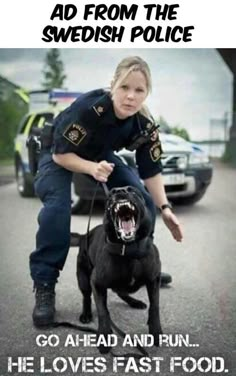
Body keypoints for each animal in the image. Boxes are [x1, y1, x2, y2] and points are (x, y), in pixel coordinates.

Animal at [75, 187, 162, 354]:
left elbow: (154, 307)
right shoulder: (97, 283)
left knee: (121, 292)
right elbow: (103, 312)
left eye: (132, 191)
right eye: (110, 197)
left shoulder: (154, 279)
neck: (129, 251)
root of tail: (84, 236)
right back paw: (86, 314)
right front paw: (104, 338)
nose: (119, 190)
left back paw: (134, 302)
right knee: (86, 297)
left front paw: (156, 332)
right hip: (83, 278)